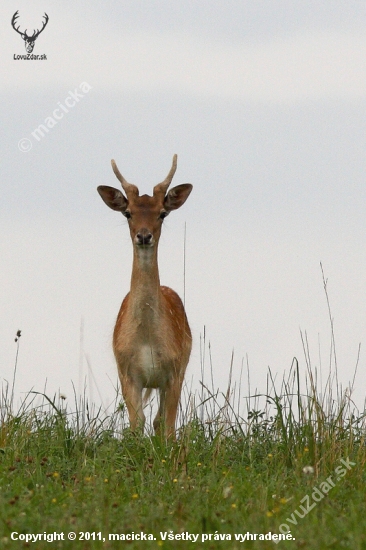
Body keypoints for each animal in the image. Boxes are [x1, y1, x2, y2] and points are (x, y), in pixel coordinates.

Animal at [98, 155, 193, 440]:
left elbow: (167, 425)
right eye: (128, 212)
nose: (143, 235)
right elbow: (136, 424)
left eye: (162, 213)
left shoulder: (173, 371)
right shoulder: (127, 372)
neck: (147, 340)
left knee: (161, 421)